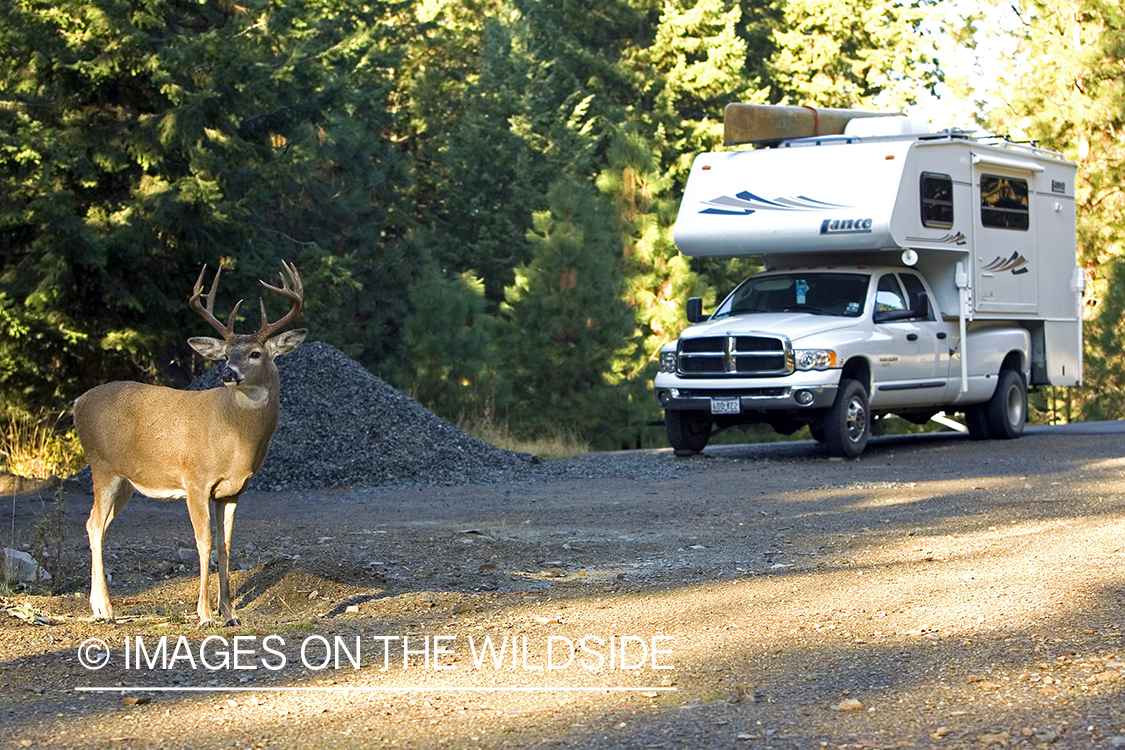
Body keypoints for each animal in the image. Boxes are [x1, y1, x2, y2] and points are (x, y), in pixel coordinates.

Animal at [75, 260, 308, 625]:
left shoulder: (233, 490)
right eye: (225, 354)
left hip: (126, 481)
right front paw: (205, 613)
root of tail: (76, 403)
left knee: (95, 523)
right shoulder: (195, 479)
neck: (234, 437)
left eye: (256, 353)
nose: (228, 373)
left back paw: (99, 606)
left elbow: (226, 545)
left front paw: (230, 612)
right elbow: (204, 542)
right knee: (95, 524)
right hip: (102, 467)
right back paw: (106, 610)